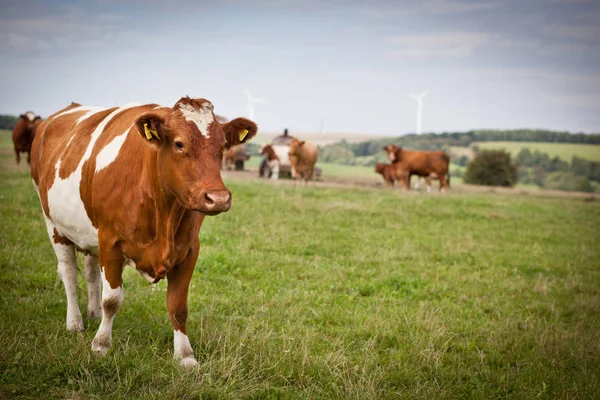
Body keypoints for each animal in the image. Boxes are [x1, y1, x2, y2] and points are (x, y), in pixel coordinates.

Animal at [31, 96, 255, 366]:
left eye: (223, 146)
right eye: (179, 144)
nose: (219, 198)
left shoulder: (189, 250)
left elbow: (178, 306)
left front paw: (185, 356)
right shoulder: (110, 243)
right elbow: (112, 299)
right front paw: (101, 345)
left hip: (88, 234)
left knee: (91, 272)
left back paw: (93, 313)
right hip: (53, 224)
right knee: (68, 273)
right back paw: (75, 321)